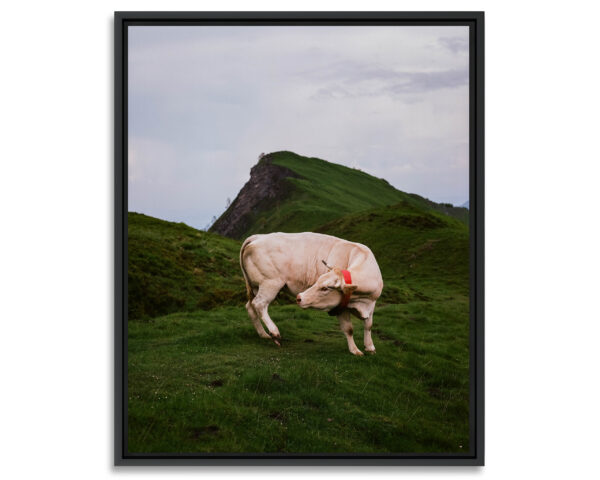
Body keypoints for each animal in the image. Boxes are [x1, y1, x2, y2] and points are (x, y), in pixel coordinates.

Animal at [238, 232, 382, 356]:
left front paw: (370, 347)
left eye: (325, 288)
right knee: (259, 304)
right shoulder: (340, 307)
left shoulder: (371, 304)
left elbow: (368, 325)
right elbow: (349, 329)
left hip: (255, 287)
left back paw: (263, 334)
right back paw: (274, 333)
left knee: (250, 307)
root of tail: (258, 236)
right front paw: (355, 350)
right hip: (269, 283)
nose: (299, 297)